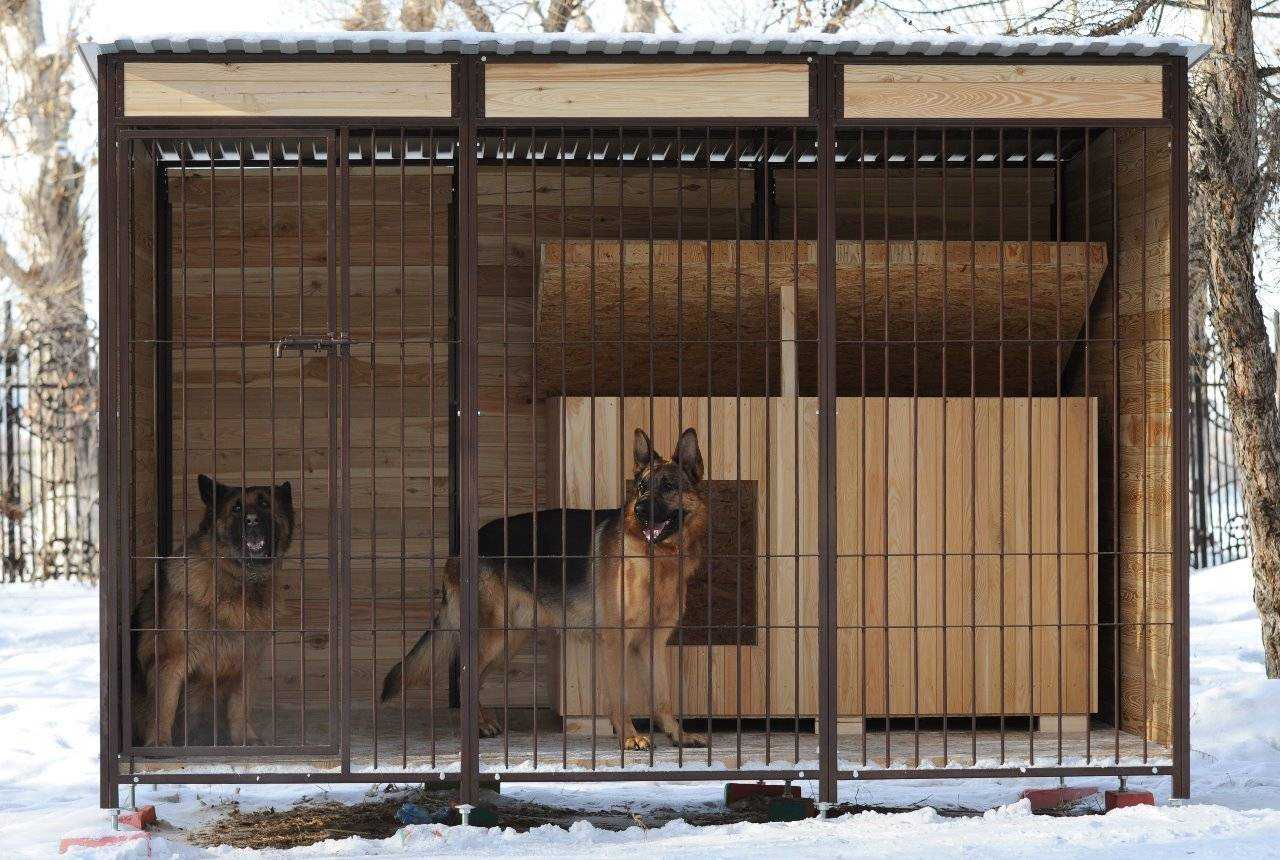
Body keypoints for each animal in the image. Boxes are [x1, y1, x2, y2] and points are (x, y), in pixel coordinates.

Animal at [133, 476, 295, 747]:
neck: (241, 581)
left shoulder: (247, 662)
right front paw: (159, 745)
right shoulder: (169, 662)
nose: (252, 520)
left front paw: (245, 739)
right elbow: (163, 708)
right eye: (237, 508)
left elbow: (240, 706)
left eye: (264, 503)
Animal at [384, 427, 716, 747]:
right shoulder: (614, 640)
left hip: (507, 641)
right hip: (492, 636)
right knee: (467, 675)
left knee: (474, 678)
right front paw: (629, 737)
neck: (657, 558)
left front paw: (677, 735)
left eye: (669, 487)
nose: (641, 511)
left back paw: (483, 723)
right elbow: (620, 696)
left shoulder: (653, 644)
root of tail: (464, 544)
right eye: (643, 487)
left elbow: (663, 696)